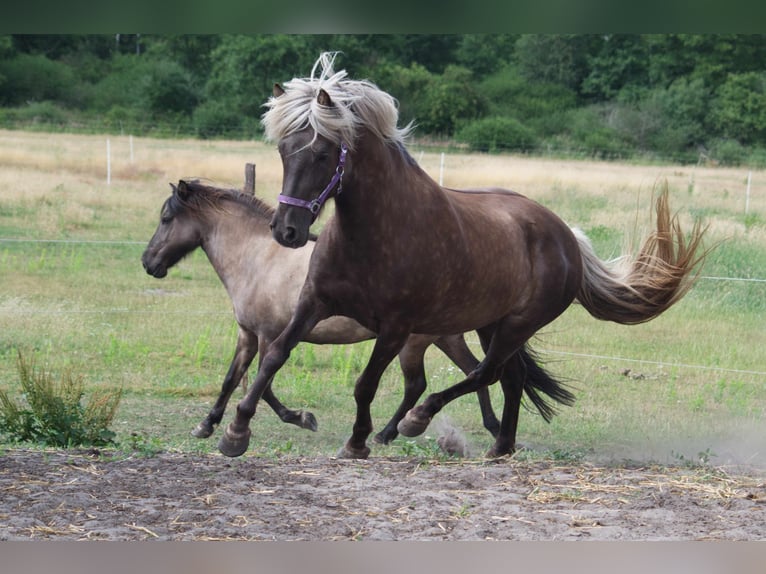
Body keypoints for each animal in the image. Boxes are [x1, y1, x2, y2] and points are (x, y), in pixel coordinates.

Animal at [142, 180, 576, 446]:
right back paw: (484, 427)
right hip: (445, 338)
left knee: (432, 382)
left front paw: (299, 418)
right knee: (477, 371)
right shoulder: (248, 334)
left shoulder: (268, 335)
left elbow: (262, 385)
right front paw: (207, 424)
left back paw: (393, 431)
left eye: (165, 218)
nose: (148, 263)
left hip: (414, 343)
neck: (257, 257)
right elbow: (234, 378)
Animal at [218, 53, 708, 460]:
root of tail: (566, 237)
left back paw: (419, 421)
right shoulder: (315, 302)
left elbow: (365, 384)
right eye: (284, 150)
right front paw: (235, 432)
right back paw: (500, 446)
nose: (287, 231)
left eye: (322, 153)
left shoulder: (395, 328)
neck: (375, 234)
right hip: (492, 324)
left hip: (515, 325)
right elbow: (275, 356)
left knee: (485, 374)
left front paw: (358, 442)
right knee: (510, 377)